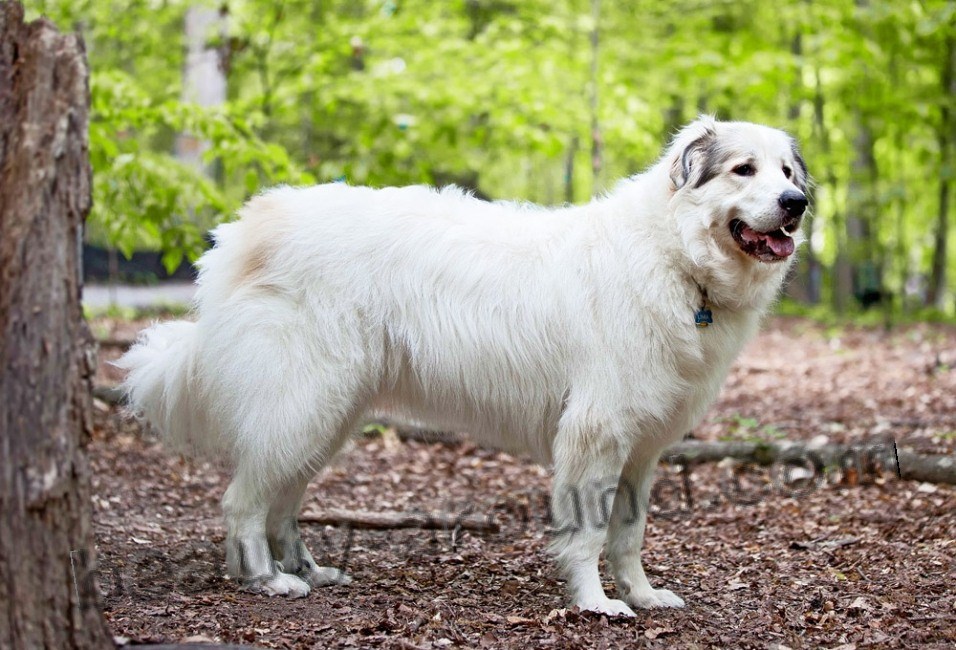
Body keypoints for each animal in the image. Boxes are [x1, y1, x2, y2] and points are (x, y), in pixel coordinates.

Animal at [119, 114, 808, 616]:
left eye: (786, 170)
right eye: (743, 169)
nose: (797, 201)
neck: (675, 257)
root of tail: (247, 227)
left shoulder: (641, 449)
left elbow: (628, 534)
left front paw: (640, 594)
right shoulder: (597, 433)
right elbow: (589, 532)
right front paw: (595, 604)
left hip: (325, 415)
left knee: (282, 502)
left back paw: (311, 571)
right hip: (303, 403)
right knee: (243, 502)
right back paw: (268, 581)